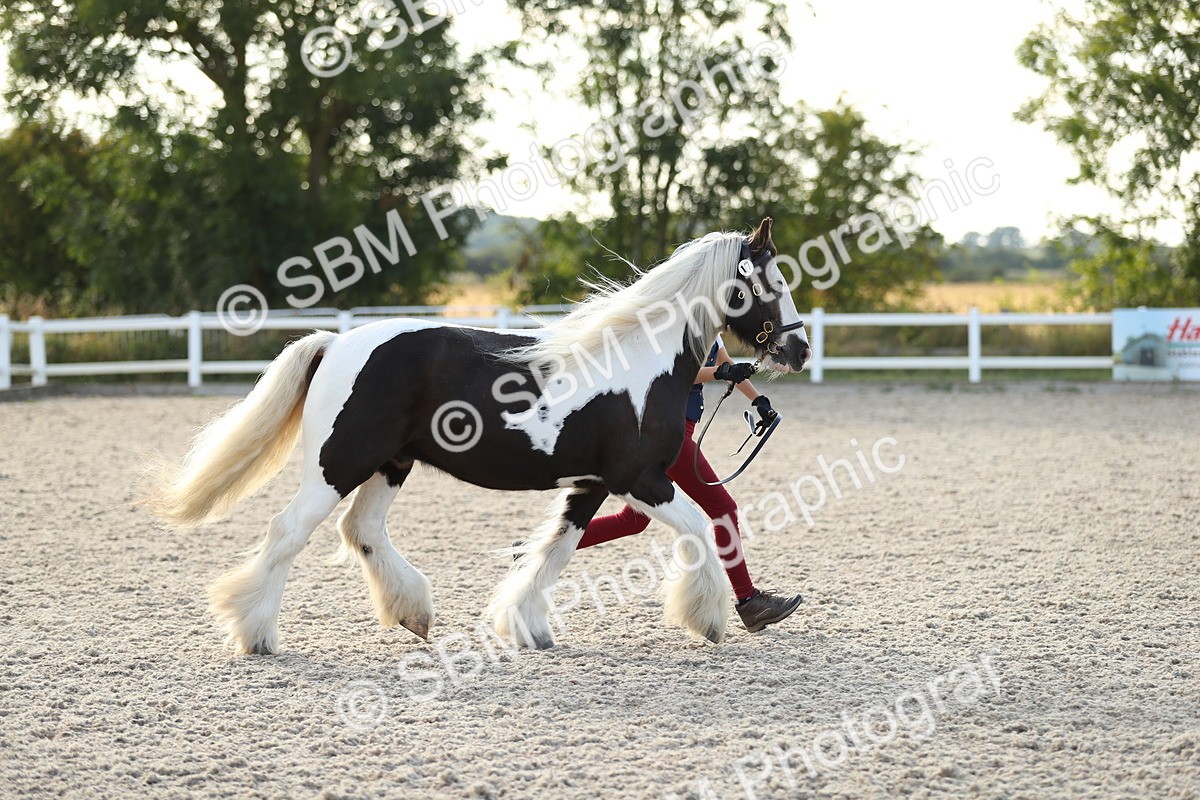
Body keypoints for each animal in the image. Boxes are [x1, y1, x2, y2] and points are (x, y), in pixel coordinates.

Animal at [144, 217, 811, 654]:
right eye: (772, 282)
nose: (799, 348)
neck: (639, 365)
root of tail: (336, 343)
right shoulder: (639, 480)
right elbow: (700, 527)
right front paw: (709, 619)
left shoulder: (591, 484)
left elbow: (554, 551)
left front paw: (527, 626)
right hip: (339, 463)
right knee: (289, 531)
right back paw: (255, 633)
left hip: (391, 463)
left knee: (361, 530)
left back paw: (413, 613)